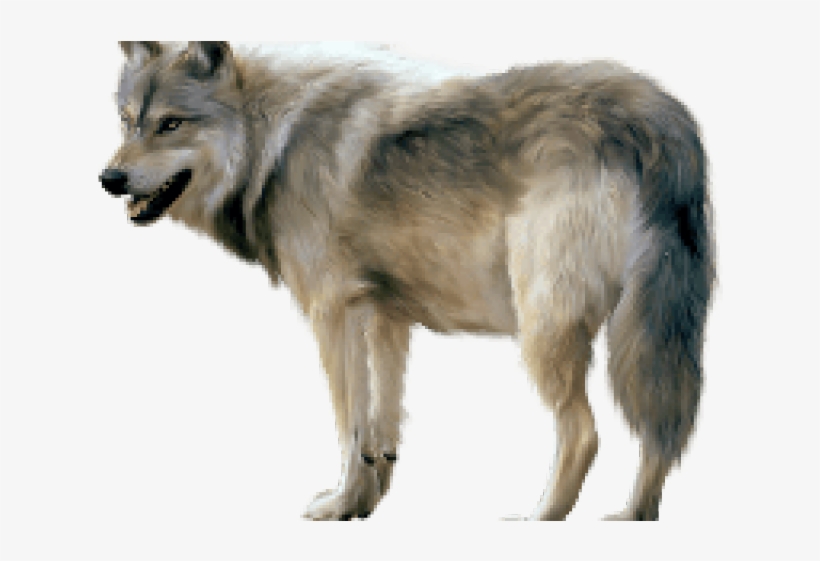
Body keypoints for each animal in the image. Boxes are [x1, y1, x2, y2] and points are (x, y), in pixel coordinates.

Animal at [101, 41, 715, 521]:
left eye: (171, 123)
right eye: (129, 120)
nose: (109, 178)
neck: (271, 140)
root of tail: (659, 116)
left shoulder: (332, 313)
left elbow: (349, 424)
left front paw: (338, 504)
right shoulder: (384, 317)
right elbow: (381, 428)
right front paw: (365, 504)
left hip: (545, 327)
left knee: (585, 434)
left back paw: (539, 517)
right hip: (648, 329)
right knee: (663, 428)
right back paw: (632, 517)